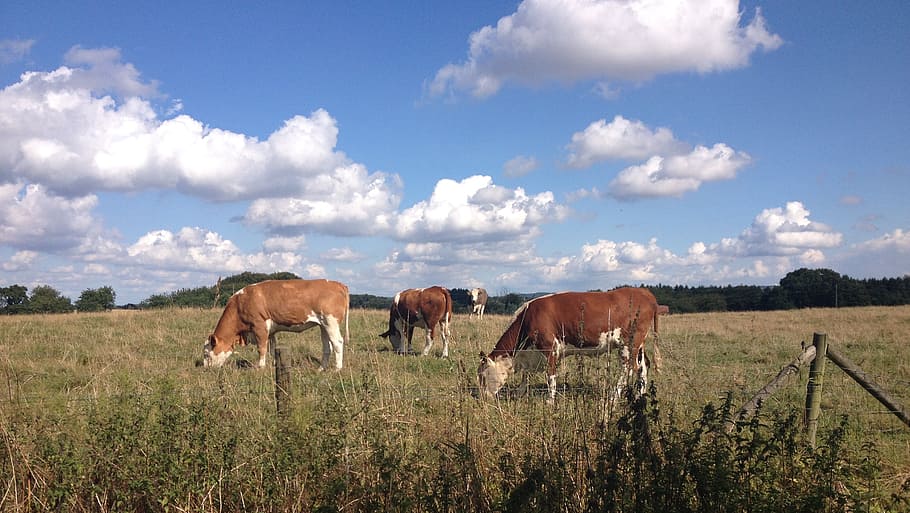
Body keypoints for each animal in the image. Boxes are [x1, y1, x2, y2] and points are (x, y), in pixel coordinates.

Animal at [203, 279, 349, 370]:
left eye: (206, 354)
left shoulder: (259, 326)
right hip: (323, 325)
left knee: (337, 343)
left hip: (331, 322)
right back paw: (321, 369)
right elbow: (272, 349)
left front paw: (260, 368)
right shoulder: (271, 331)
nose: (206, 369)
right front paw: (275, 366)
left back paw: (337, 369)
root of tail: (338, 284)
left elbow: (261, 349)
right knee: (327, 347)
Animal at [477, 287, 660, 402]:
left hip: (629, 343)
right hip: (639, 345)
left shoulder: (549, 348)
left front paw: (550, 402)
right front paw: (518, 394)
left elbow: (550, 377)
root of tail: (644, 293)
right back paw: (640, 396)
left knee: (628, 369)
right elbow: (526, 376)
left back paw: (613, 398)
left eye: (483, 376)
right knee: (643, 366)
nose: (483, 397)